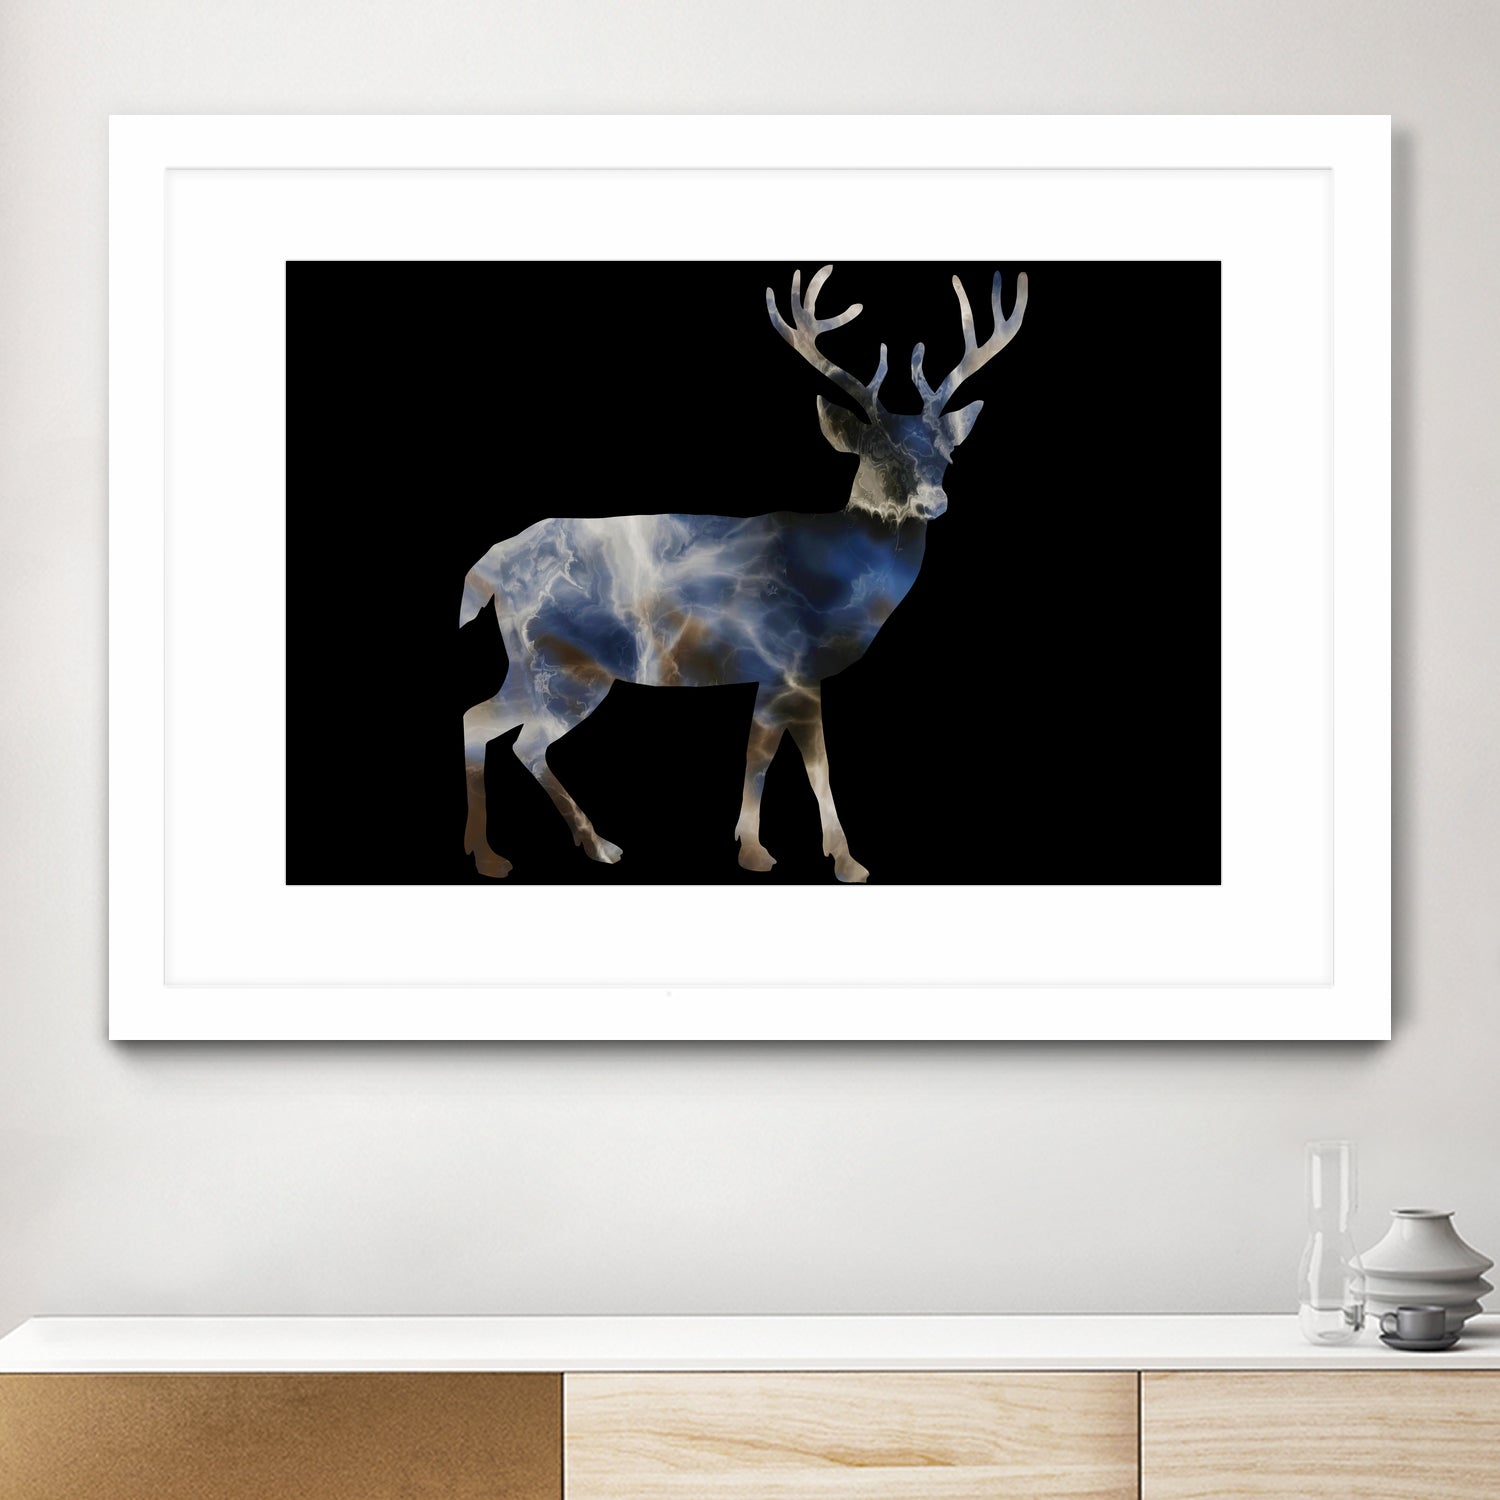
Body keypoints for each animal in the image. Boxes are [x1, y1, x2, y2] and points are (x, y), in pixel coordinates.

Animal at [458, 265, 1028, 882]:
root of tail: (491, 566)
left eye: (947, 455)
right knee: (516, 737)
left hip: (532, 661)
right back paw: (539, 850)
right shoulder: (792, 663)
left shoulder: (773, 673)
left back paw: (542, 846)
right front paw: (840, 859)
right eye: (878, 453)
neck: (839, 578)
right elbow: (808, 763)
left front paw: (753, 846)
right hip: (564, 664)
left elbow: (759, 755)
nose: (935, 501)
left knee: (486, 722)